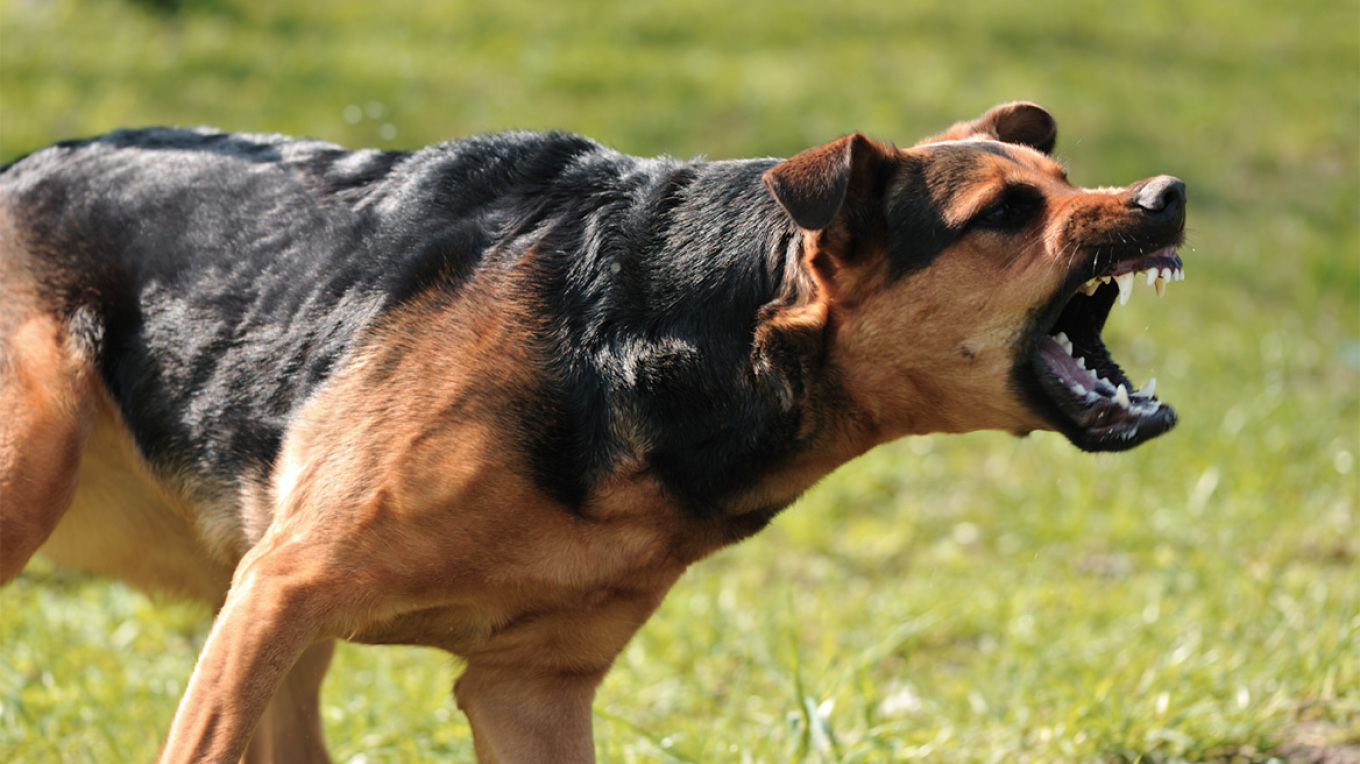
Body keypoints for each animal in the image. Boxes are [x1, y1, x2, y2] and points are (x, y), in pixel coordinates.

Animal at [0, 102, 1185, 761]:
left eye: (1065, 181)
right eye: (1004, 214)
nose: (1167, 194)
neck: (661, 333)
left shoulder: (528, 693)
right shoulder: (287, 589)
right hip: (54, 483)